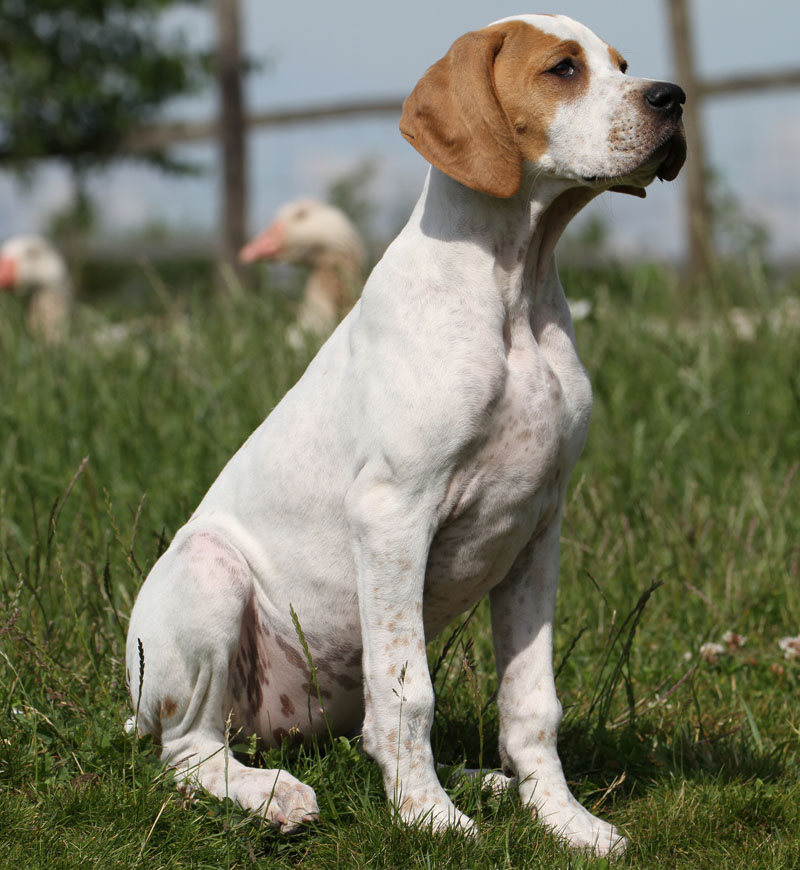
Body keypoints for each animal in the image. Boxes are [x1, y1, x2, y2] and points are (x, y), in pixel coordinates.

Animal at [126, 13, 688, 860]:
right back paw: (276, 796)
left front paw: (563, 820)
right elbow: (408, 693)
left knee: (350, 736)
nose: (673, 98)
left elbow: (531, 703)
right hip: (207, 579)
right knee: (189, 751)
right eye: (563, 69)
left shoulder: (538, 527)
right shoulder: (393, 514)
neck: (515, 287)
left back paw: (483, 782)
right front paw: (428, 820)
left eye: (623, 65)